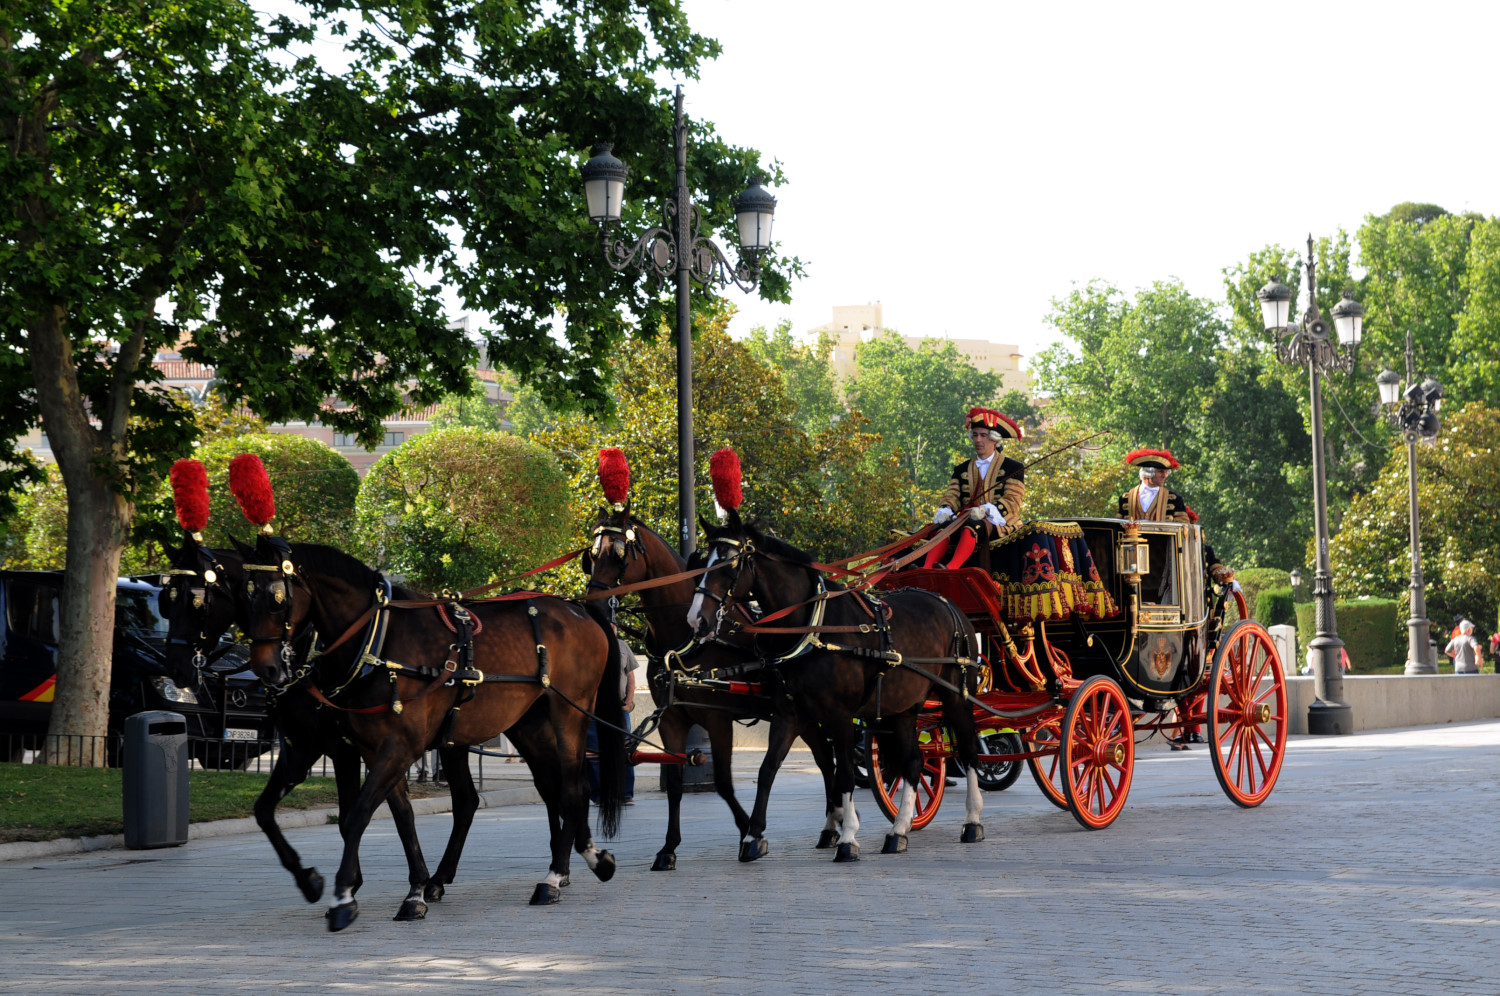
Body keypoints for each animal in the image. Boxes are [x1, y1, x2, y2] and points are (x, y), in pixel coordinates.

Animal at [157, 536, 475, 917]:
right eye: (166, 600)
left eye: (196, 601)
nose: (176, 667)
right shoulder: (302, 749)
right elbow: (265, 811)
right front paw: (312, 880)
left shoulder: (345, 750)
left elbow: (359, 814)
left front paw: (353, 886)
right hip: (451, 742)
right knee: (467, 801)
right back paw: (440, 878)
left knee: (464, 801)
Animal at [238, 534, 626, 931]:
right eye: (244, 595)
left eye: (276, 598)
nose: (266, 669)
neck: (378, 641)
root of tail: (577, 610)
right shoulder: (361, 749)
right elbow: (399, 818)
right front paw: (414, 891)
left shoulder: (393, 748)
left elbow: (358, 815)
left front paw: (344, 895)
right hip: (525, 724)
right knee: (541, 789)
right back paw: (585, 859)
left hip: (569, 713)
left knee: (572, 788)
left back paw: (554, 877)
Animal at [585, 509, 842, 868]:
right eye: (592, 556)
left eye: (619, 554)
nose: (593, 606)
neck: (685, 639)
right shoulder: (672, 719)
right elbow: (675, 783)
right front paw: (668, 848)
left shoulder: (717, 719)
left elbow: (722, 781)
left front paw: (748, 831)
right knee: (824, 759)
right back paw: (831, 827)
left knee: (826, 759)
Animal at [687, 510, 986, 860]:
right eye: (702, 562)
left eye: (728, 563)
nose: (696, 619)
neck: (811, 626)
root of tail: (949, 604)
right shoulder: (789, 714)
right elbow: (768, 769)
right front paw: (753, 835)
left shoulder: (839, 715)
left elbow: (842, 773)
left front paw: (848, 836)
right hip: (903, 707)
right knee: (913, 762)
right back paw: (899, 830)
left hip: (956, 697)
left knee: (968, 750)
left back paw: (972, 821)